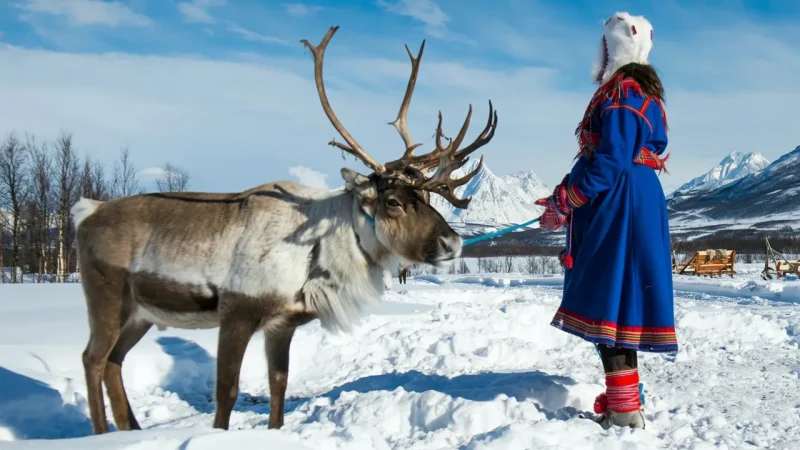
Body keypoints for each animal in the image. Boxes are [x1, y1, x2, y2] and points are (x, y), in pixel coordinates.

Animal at [71, 25, 498, 435]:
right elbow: (227, 392)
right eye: (392, 201)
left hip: (139, 313)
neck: (315, 258)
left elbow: (279, 386)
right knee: (93, 358)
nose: (452, 242)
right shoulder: (237, 313)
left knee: (114, 362)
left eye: (426, 197)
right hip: (106, 296)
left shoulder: (282, 324)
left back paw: (128, 431)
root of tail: (88, 213)